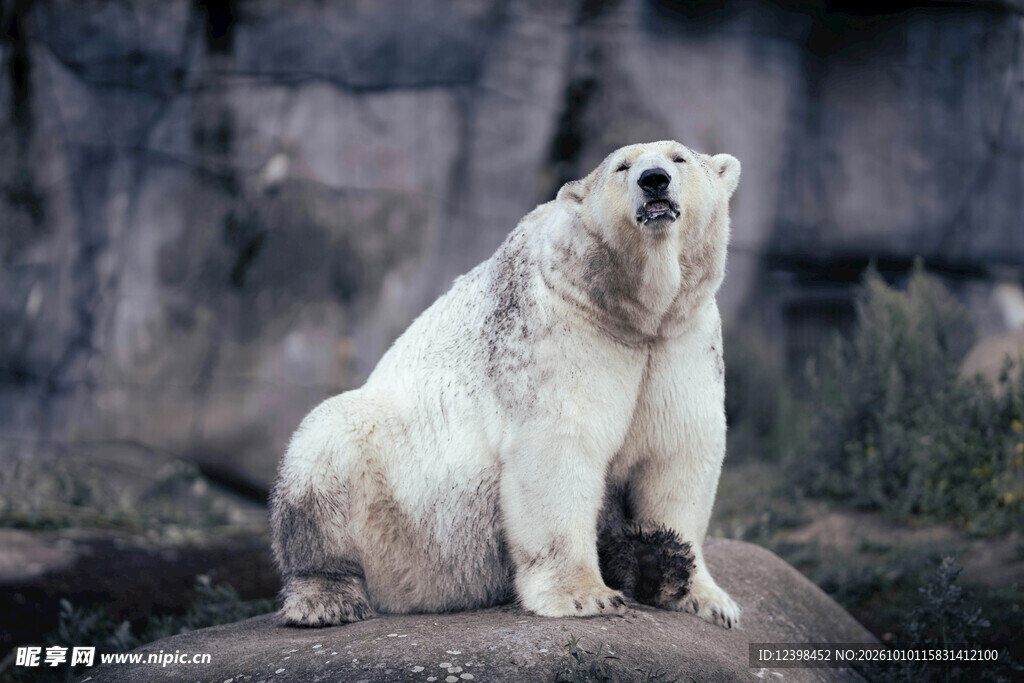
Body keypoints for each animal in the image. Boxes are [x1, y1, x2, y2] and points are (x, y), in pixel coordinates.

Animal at [270, 140, 742, 629]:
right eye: (622, 166)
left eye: (679, 158)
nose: (654, 180)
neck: (629, 314)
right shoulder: (559, 331)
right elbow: (560, 449)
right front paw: (585, 595)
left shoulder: (681, 340)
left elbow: (677, 455)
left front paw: (707, 599)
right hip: (403, 524)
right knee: (325, 451)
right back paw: (327, 598)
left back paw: (652, 561)